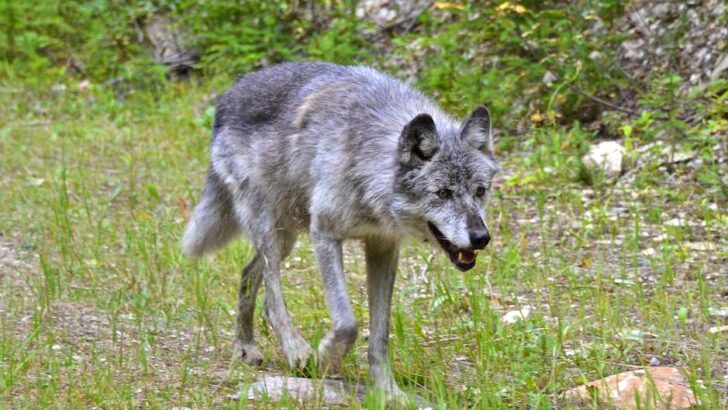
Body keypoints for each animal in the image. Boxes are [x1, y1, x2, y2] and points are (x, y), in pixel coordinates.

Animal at [182, 62, 499, 401]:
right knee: (271, 296)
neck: (369, 165)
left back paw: (245, 345)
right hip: (271, 229)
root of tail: (230, 94)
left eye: (480, 191)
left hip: (285, 238)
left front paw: (387, 391)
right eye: (443, 193)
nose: (481, 238)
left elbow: (380, 333)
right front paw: (325, 358)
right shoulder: (324, 234)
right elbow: (347, 323)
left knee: (248, 273)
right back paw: (293, 350)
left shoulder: (384, 248)